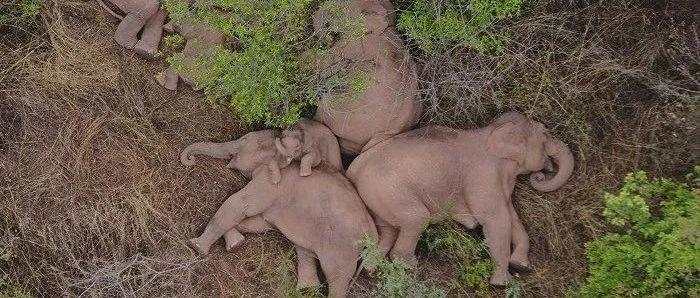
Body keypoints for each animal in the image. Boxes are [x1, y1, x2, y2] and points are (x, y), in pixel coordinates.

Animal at [180, 131, 378, 298]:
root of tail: (373, 236)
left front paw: (196, 247)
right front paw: (236, 244)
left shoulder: (270, 183)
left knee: (337, 276)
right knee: (305, 250)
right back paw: (307, 289)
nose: (190, 159)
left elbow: (241, 204)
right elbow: (259, 223)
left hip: (342, 247)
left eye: (243, 141)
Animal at [348, 112, 576, 286]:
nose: (540, 176)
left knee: (386, 232)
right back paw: (410, 267)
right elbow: (497, 220)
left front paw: (521, 265)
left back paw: (374, 270)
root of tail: (355, 167)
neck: (493, 130)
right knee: (416, 219)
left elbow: (512, 218)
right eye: (545, 134)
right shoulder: (483, 177)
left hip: (377, 198)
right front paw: (503, 283)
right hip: (388, 190)